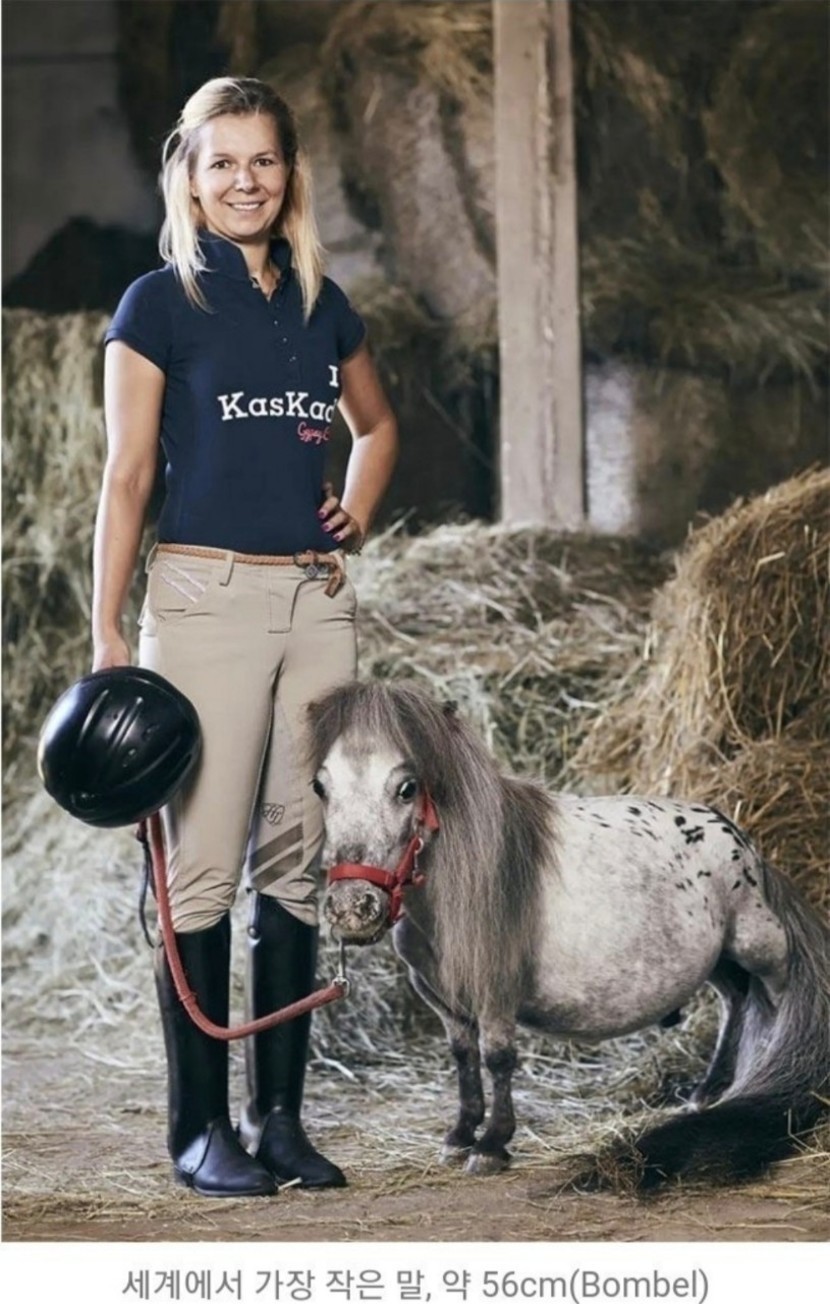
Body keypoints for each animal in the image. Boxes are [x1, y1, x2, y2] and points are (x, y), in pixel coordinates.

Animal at [309, 680, 830, 1188]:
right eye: (321, 786)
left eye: (406, 788)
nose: (352, 909)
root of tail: (745, 844)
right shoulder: (445, 1001)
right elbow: (463, 1058)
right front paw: (460, 1135)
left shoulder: (496, 993)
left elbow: (497, 1058)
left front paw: (492, 1145)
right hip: (718, 960)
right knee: (735, 999)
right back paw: (707, 1091)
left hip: (758, 947)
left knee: (774, 998)